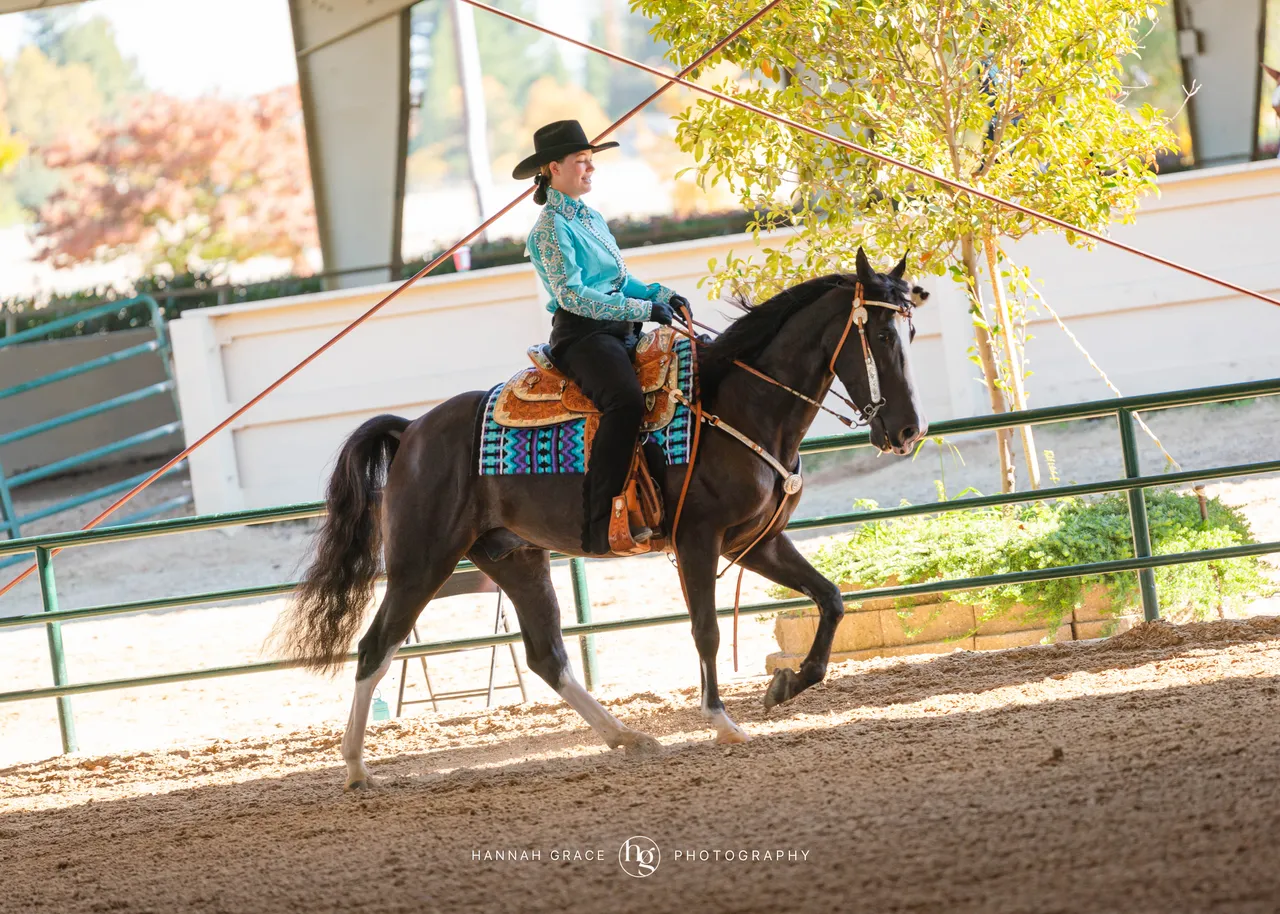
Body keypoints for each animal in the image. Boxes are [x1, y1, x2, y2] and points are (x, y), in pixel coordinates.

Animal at [278, 247, 929, 789]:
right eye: (877, 332)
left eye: (913, 330)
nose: (907, 431)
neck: (737, 405)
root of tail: (412, 429)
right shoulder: (699, 540)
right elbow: (707, 630)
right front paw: (722, 720)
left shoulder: (756, 543)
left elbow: (831, 599)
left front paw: (785, 685)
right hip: (421, 563)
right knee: (375, 647)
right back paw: (356, 768)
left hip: (515, 557)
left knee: (546, 655)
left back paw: (628, 736)